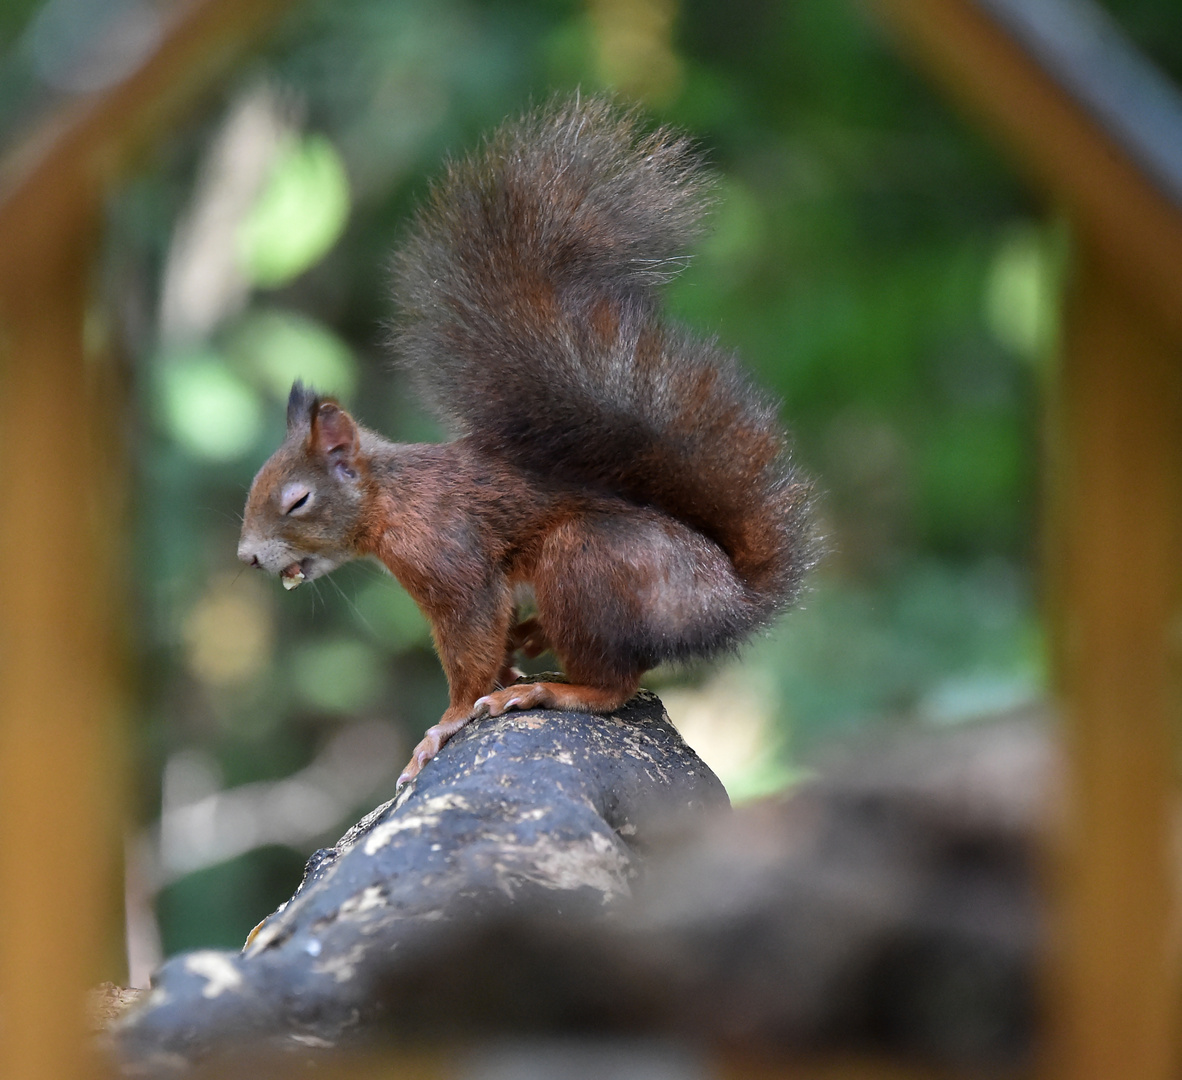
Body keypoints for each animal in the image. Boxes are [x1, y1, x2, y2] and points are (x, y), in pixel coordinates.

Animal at [237, 98, 813, 784]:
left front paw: (446, 725)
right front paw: (498, 670)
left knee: (616, 685)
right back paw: (533, 641)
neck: (393, 501)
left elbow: (470, 643)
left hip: (586, 562)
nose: (246, 557)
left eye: (297, 500)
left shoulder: (448, 557)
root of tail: (730, 601)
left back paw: (549, 688)